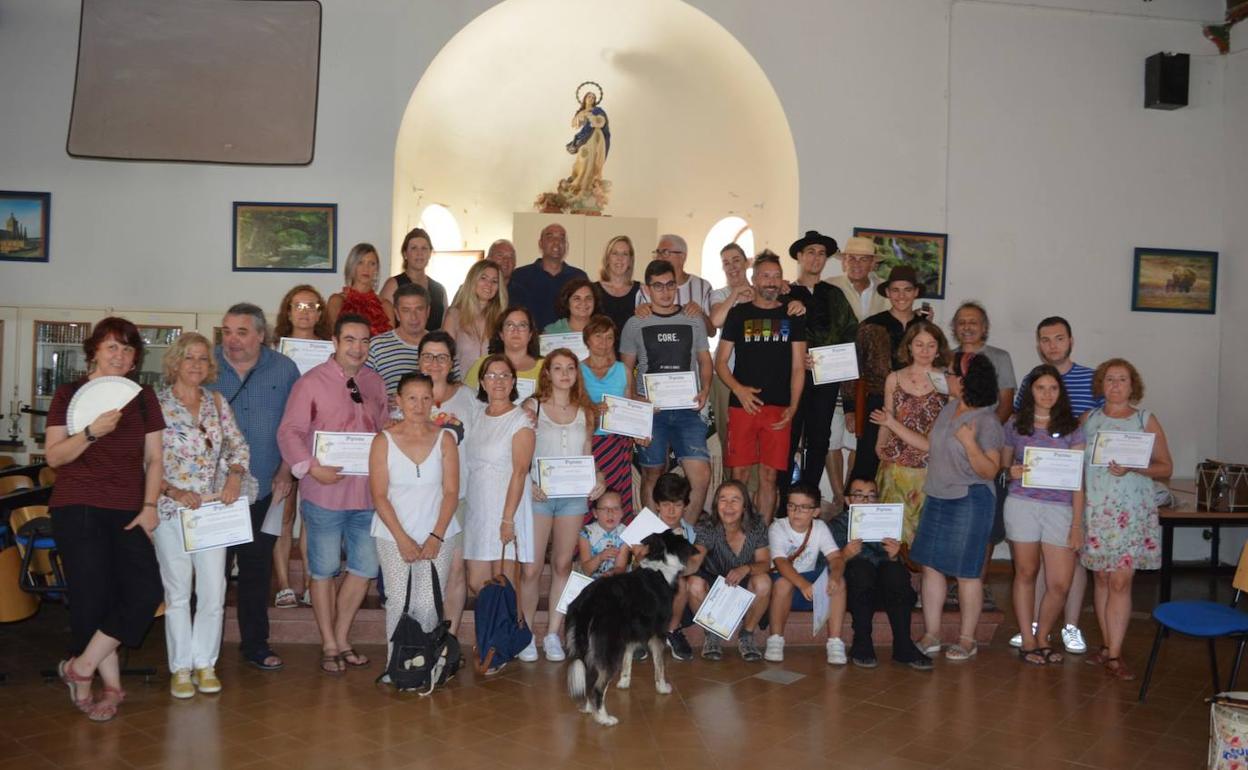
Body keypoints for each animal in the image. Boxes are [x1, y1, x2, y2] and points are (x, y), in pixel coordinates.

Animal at [569, 531, 698, 723]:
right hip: (610, 647)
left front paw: (624, 682)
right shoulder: (658, 633)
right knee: (598, 687)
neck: (661, 564)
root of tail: (588, 603)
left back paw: (588, 709)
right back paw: (604, 718)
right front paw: (662, 688)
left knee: (589, 681)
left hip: (590, 649)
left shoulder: (628, 634)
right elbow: (659, 665)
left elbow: (628, 660)